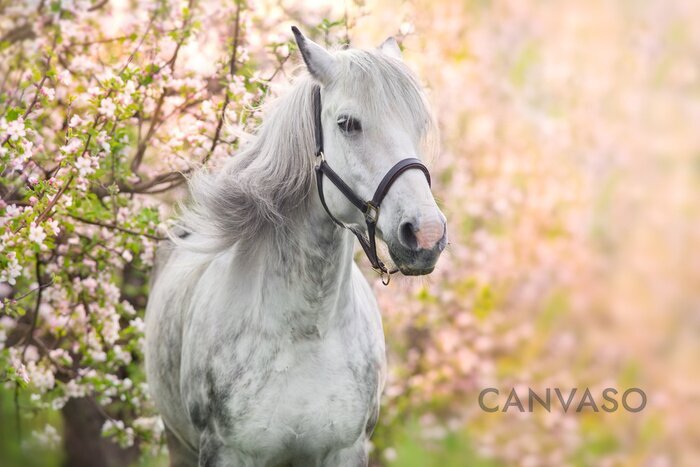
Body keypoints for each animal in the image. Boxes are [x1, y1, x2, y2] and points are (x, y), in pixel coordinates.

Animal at [144, 27, 446, 466]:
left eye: (418, 123)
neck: (307, 332)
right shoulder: (225, 451)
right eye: (347, 124)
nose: (426, 235)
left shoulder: (346, 450)